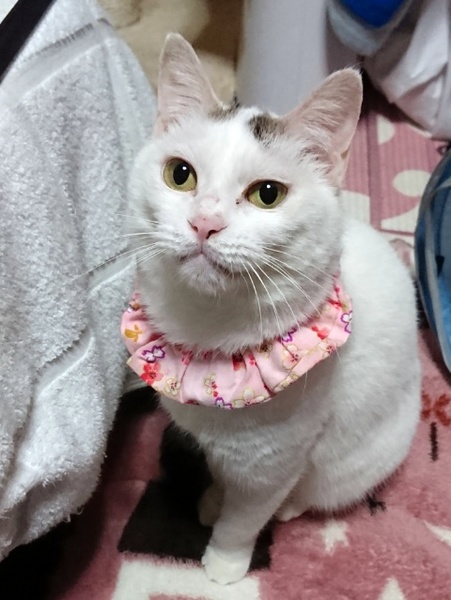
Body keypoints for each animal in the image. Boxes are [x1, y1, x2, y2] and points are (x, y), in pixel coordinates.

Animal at [125, 33, 421, 585]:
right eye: (180, 175)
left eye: (267, 194)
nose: (204, 223)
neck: (207, 334)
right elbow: (223, 481)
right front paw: (212, 499)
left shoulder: (271, 463)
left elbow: (246, 516)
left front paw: (224, 562)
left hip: (350, 465)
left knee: (311, 493)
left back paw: (289, 509)